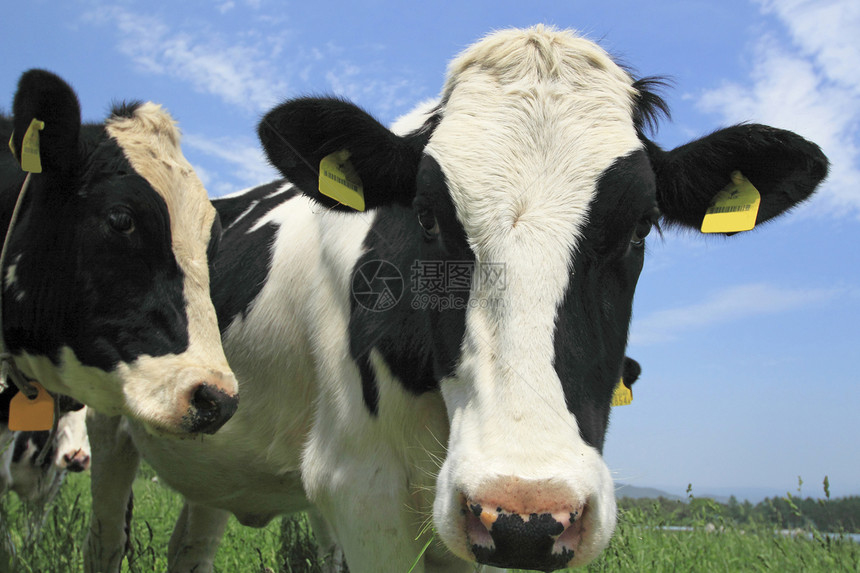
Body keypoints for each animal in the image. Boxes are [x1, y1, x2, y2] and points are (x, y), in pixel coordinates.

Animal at [85, 25, 828, 572]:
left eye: (641, 225)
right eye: (428, 217)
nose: (527, 511)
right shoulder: (362, 492)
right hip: (103, 421)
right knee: (104, 537)